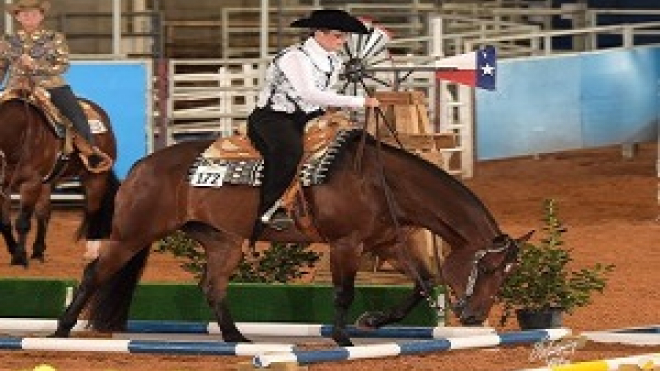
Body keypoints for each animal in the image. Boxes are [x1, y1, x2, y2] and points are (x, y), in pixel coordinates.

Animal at [0, 96, 120, 268]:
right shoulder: (5, 186)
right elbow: (4, 222)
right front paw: (14, 250)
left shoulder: (31, 184)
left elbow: (22, 222)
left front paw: (19, 257)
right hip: (48, 183)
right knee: (44, 213)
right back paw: (38, 251)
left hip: (95, 177)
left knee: (93, 209)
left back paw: (91, 251)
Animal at [52, 132, 532, 348]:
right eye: (489, 266)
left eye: (508, 274)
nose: (475, 316)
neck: (380, 181)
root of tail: (140, 167)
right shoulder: (346, 244)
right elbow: (342, 292)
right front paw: (342, 337)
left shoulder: (385, 244)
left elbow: (422, 283)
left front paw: (372, 321)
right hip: (132, 234)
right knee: (94, 274)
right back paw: (61, 329)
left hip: (223, 243)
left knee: (213, 287)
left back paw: (236, 338)